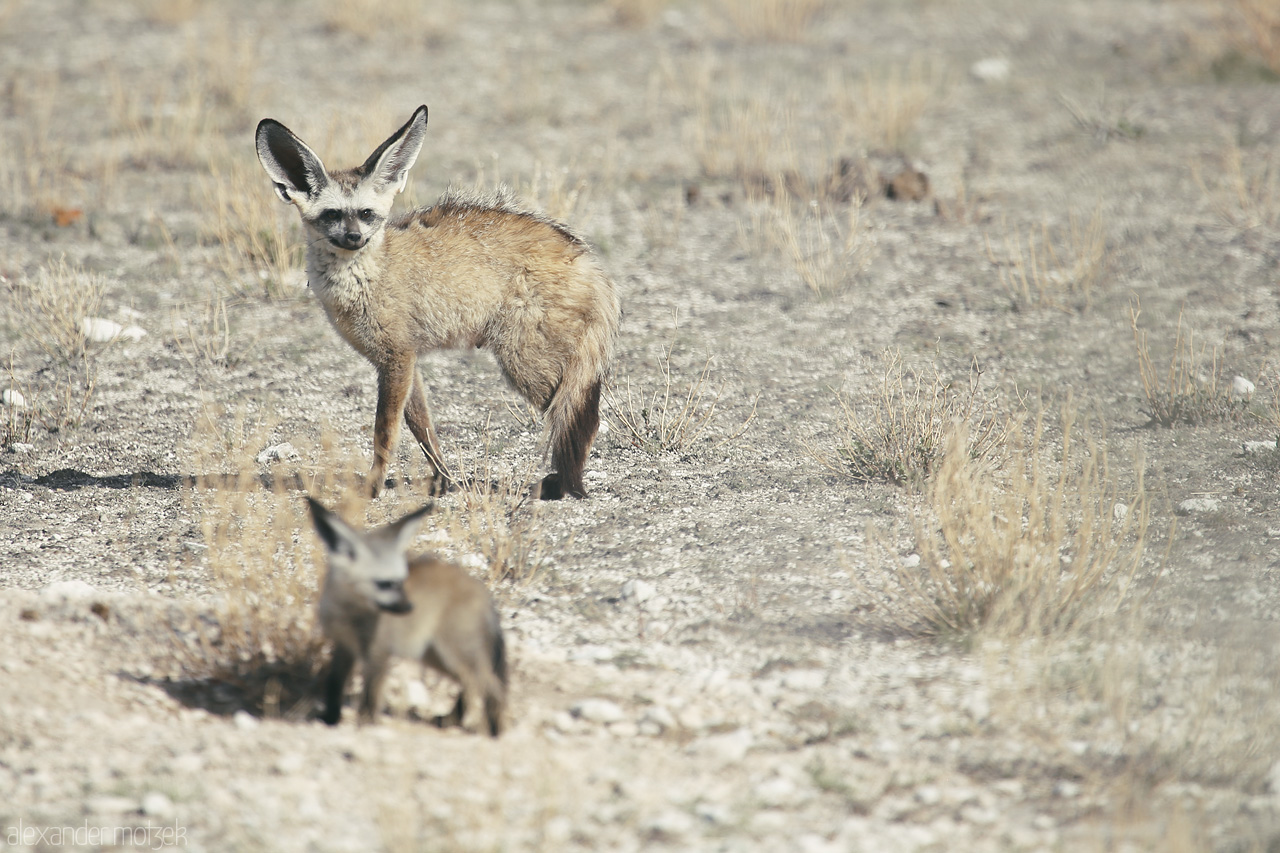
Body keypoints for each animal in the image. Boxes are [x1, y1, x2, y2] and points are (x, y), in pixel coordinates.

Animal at [256, 105, 620, 500]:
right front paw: (444, 480)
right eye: (332, 215)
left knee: (584, 418)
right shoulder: (401, 360)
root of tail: (589, 260)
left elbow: (385, 433)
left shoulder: (397, 358)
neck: (368, 277)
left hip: (524, 365)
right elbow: (423, 429)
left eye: (366, 214)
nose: (354, 238)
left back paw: (565, 483)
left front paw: (374, 485)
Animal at [306, 497, 507, 737]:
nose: (409, 607)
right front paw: (330, 719)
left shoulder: (377, 652)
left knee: (492, 688)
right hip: (437, 656)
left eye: (401, 581)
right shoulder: (344, 646)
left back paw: (496, 734)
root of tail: (483, 590)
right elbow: (334, 684)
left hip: (456, 654)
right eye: (384, 584)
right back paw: (449, 720)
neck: (348, 612)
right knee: (470, 686)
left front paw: (365, 726)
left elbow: (370, 696)